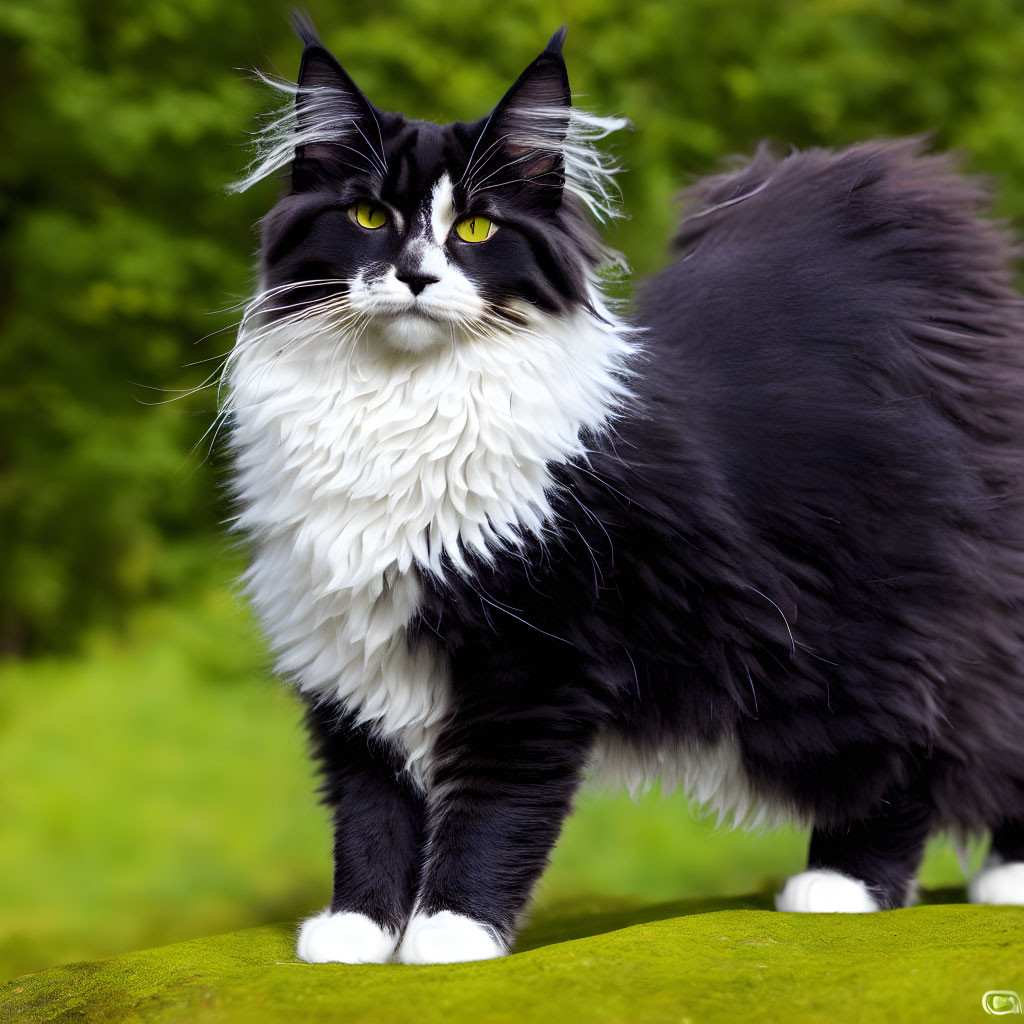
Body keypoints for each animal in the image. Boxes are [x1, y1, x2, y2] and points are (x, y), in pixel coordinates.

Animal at [226, 12, 1024, 962]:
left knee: (918, 741)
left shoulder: (535, 662)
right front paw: (358, 933)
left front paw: (449, 935)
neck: (401, 406)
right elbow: (369, 805)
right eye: (369, 216)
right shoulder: (348, 658)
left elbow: (491, 805)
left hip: (871, 628)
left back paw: (858, 886)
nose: (416, 276)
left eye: (478, 230)